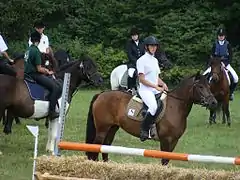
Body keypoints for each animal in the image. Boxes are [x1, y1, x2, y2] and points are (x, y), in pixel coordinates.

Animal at [84, 71, 218, 165]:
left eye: (209, 86)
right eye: (200, 86)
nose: (213, 102)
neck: (175, 106)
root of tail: (101, 94)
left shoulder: (174, 141)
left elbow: (167, 161)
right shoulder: (166, 140)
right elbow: (164, 161)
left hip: (112, 128)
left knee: (106, 146)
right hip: (102, 129)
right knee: (96, 147)